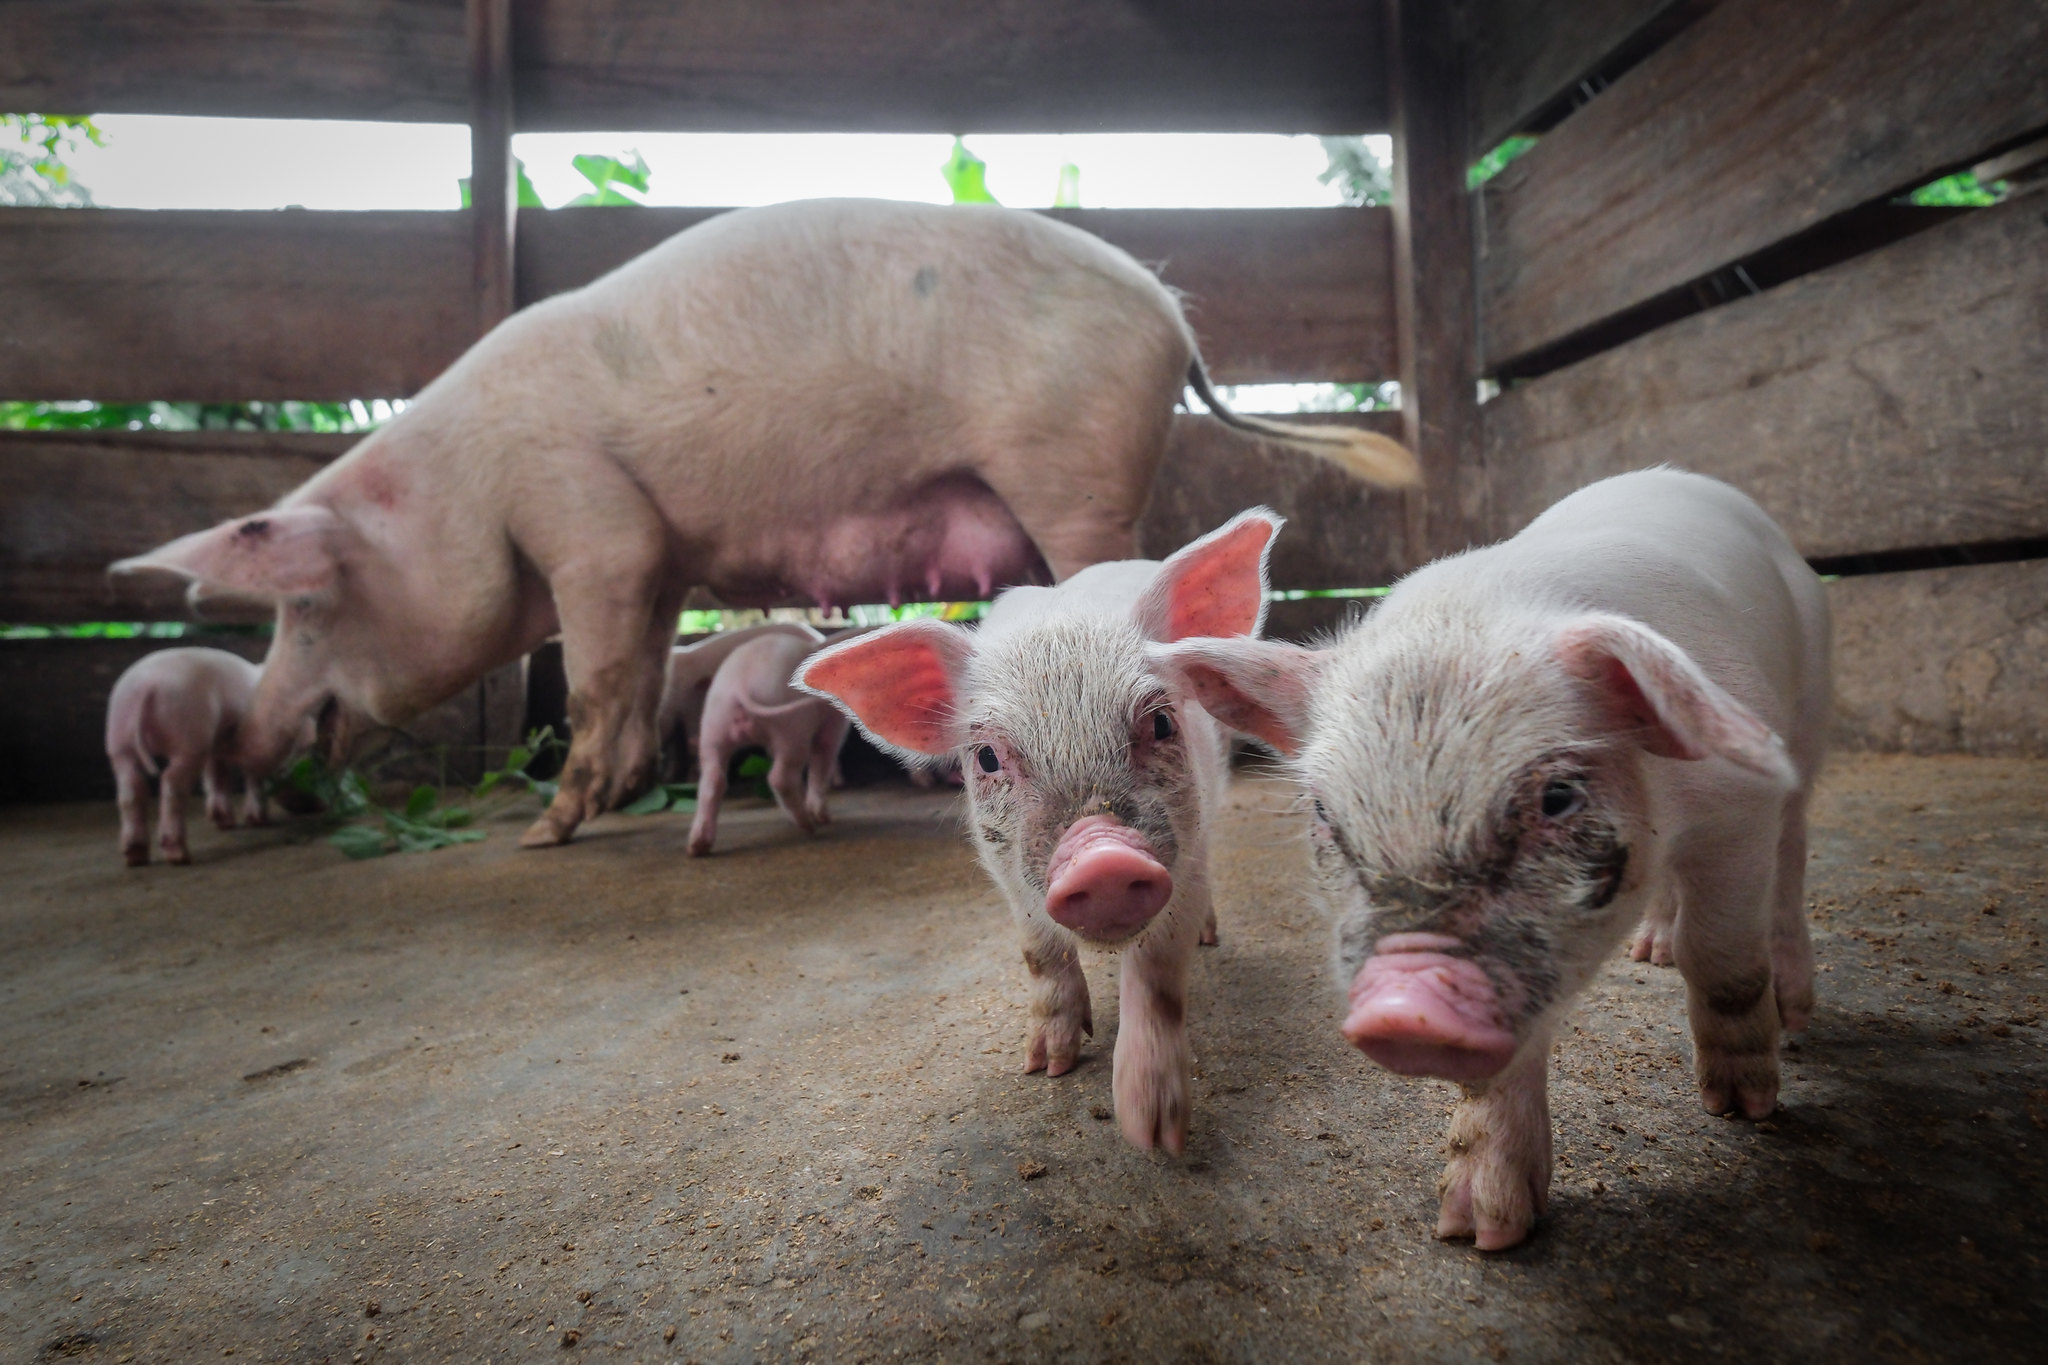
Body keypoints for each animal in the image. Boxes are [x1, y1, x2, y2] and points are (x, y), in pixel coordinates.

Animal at [104, 646, 274, 866]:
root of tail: (146, 686)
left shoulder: (215, 744)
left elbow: (216, 774)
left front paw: (224, 821)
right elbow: (251, 776)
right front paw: (258, 821)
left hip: (119, 739)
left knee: (130, 789)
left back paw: (135, 856)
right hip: (187, 735)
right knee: (171, 784)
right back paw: (178, 854)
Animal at [683, 626, 851, 856]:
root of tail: (741, 684)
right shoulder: (832, 725)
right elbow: (822, 760)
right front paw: (823, 817)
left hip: (713, 725)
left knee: (712, 779)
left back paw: (697, 847)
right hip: (791, 726)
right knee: (780, 777)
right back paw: (809, 826)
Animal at [796, 509, 1282, 1153]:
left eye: (1160, 722)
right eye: (986, 757)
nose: (1102, 855)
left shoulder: (1189, 856)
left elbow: (1157, 979)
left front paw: (1152, 1132)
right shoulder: (1010, 879)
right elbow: (1040, 955)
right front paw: (1046, 1068)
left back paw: (1209, 938)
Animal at [1154, 470, 1829, 1248]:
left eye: (1557, 796)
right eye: (1323, 811)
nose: (1404, 1002)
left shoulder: (1740, 803)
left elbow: (1722, 958)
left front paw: (1743, 1109)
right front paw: (1481, 1230)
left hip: (1802, 724)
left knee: (1793, 853)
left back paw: (1793, 1009)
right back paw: (1650, 951)